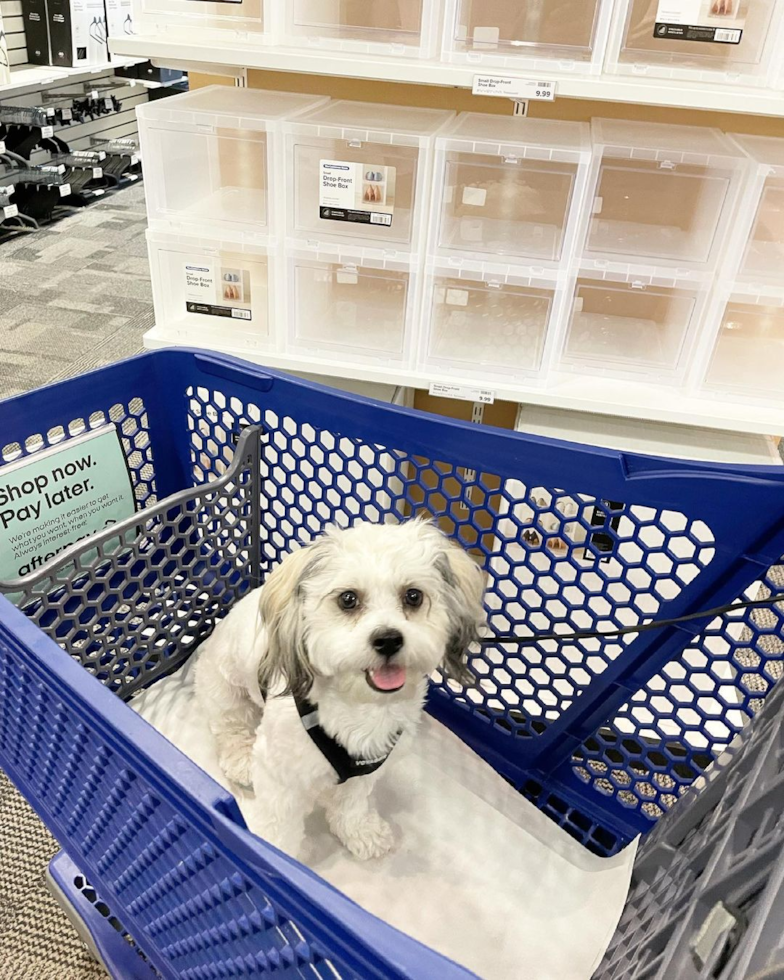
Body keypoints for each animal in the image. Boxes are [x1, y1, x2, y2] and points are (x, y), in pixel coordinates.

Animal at [194, 520, 484, 856]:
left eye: (413, 596)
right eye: (348, 599)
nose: (388, 639)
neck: (359, 703)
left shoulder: (369, 765)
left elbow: (352, 802)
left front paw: (360, 831)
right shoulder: (279, 774)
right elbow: (278, 826)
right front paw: (274, 856)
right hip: (224, 688)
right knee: (231, 726)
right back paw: (241, 760)